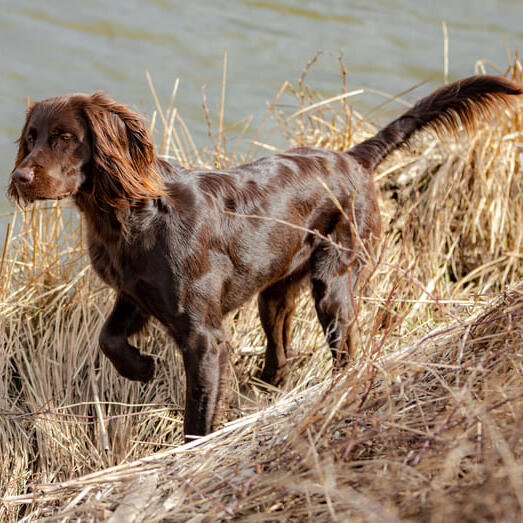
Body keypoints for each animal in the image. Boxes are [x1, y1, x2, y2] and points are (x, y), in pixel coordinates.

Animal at [9, 75, 523, 440]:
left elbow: (198, 414)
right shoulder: (135, 296)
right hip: (273, 295)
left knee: (344, 352)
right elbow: (107, 339)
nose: (18, 177)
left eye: (64, 137)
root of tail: (353, 158)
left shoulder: (204, 337)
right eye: (31, 137)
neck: (128, 217)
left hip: (335, 283)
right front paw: (143, 368)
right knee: (280, 354)